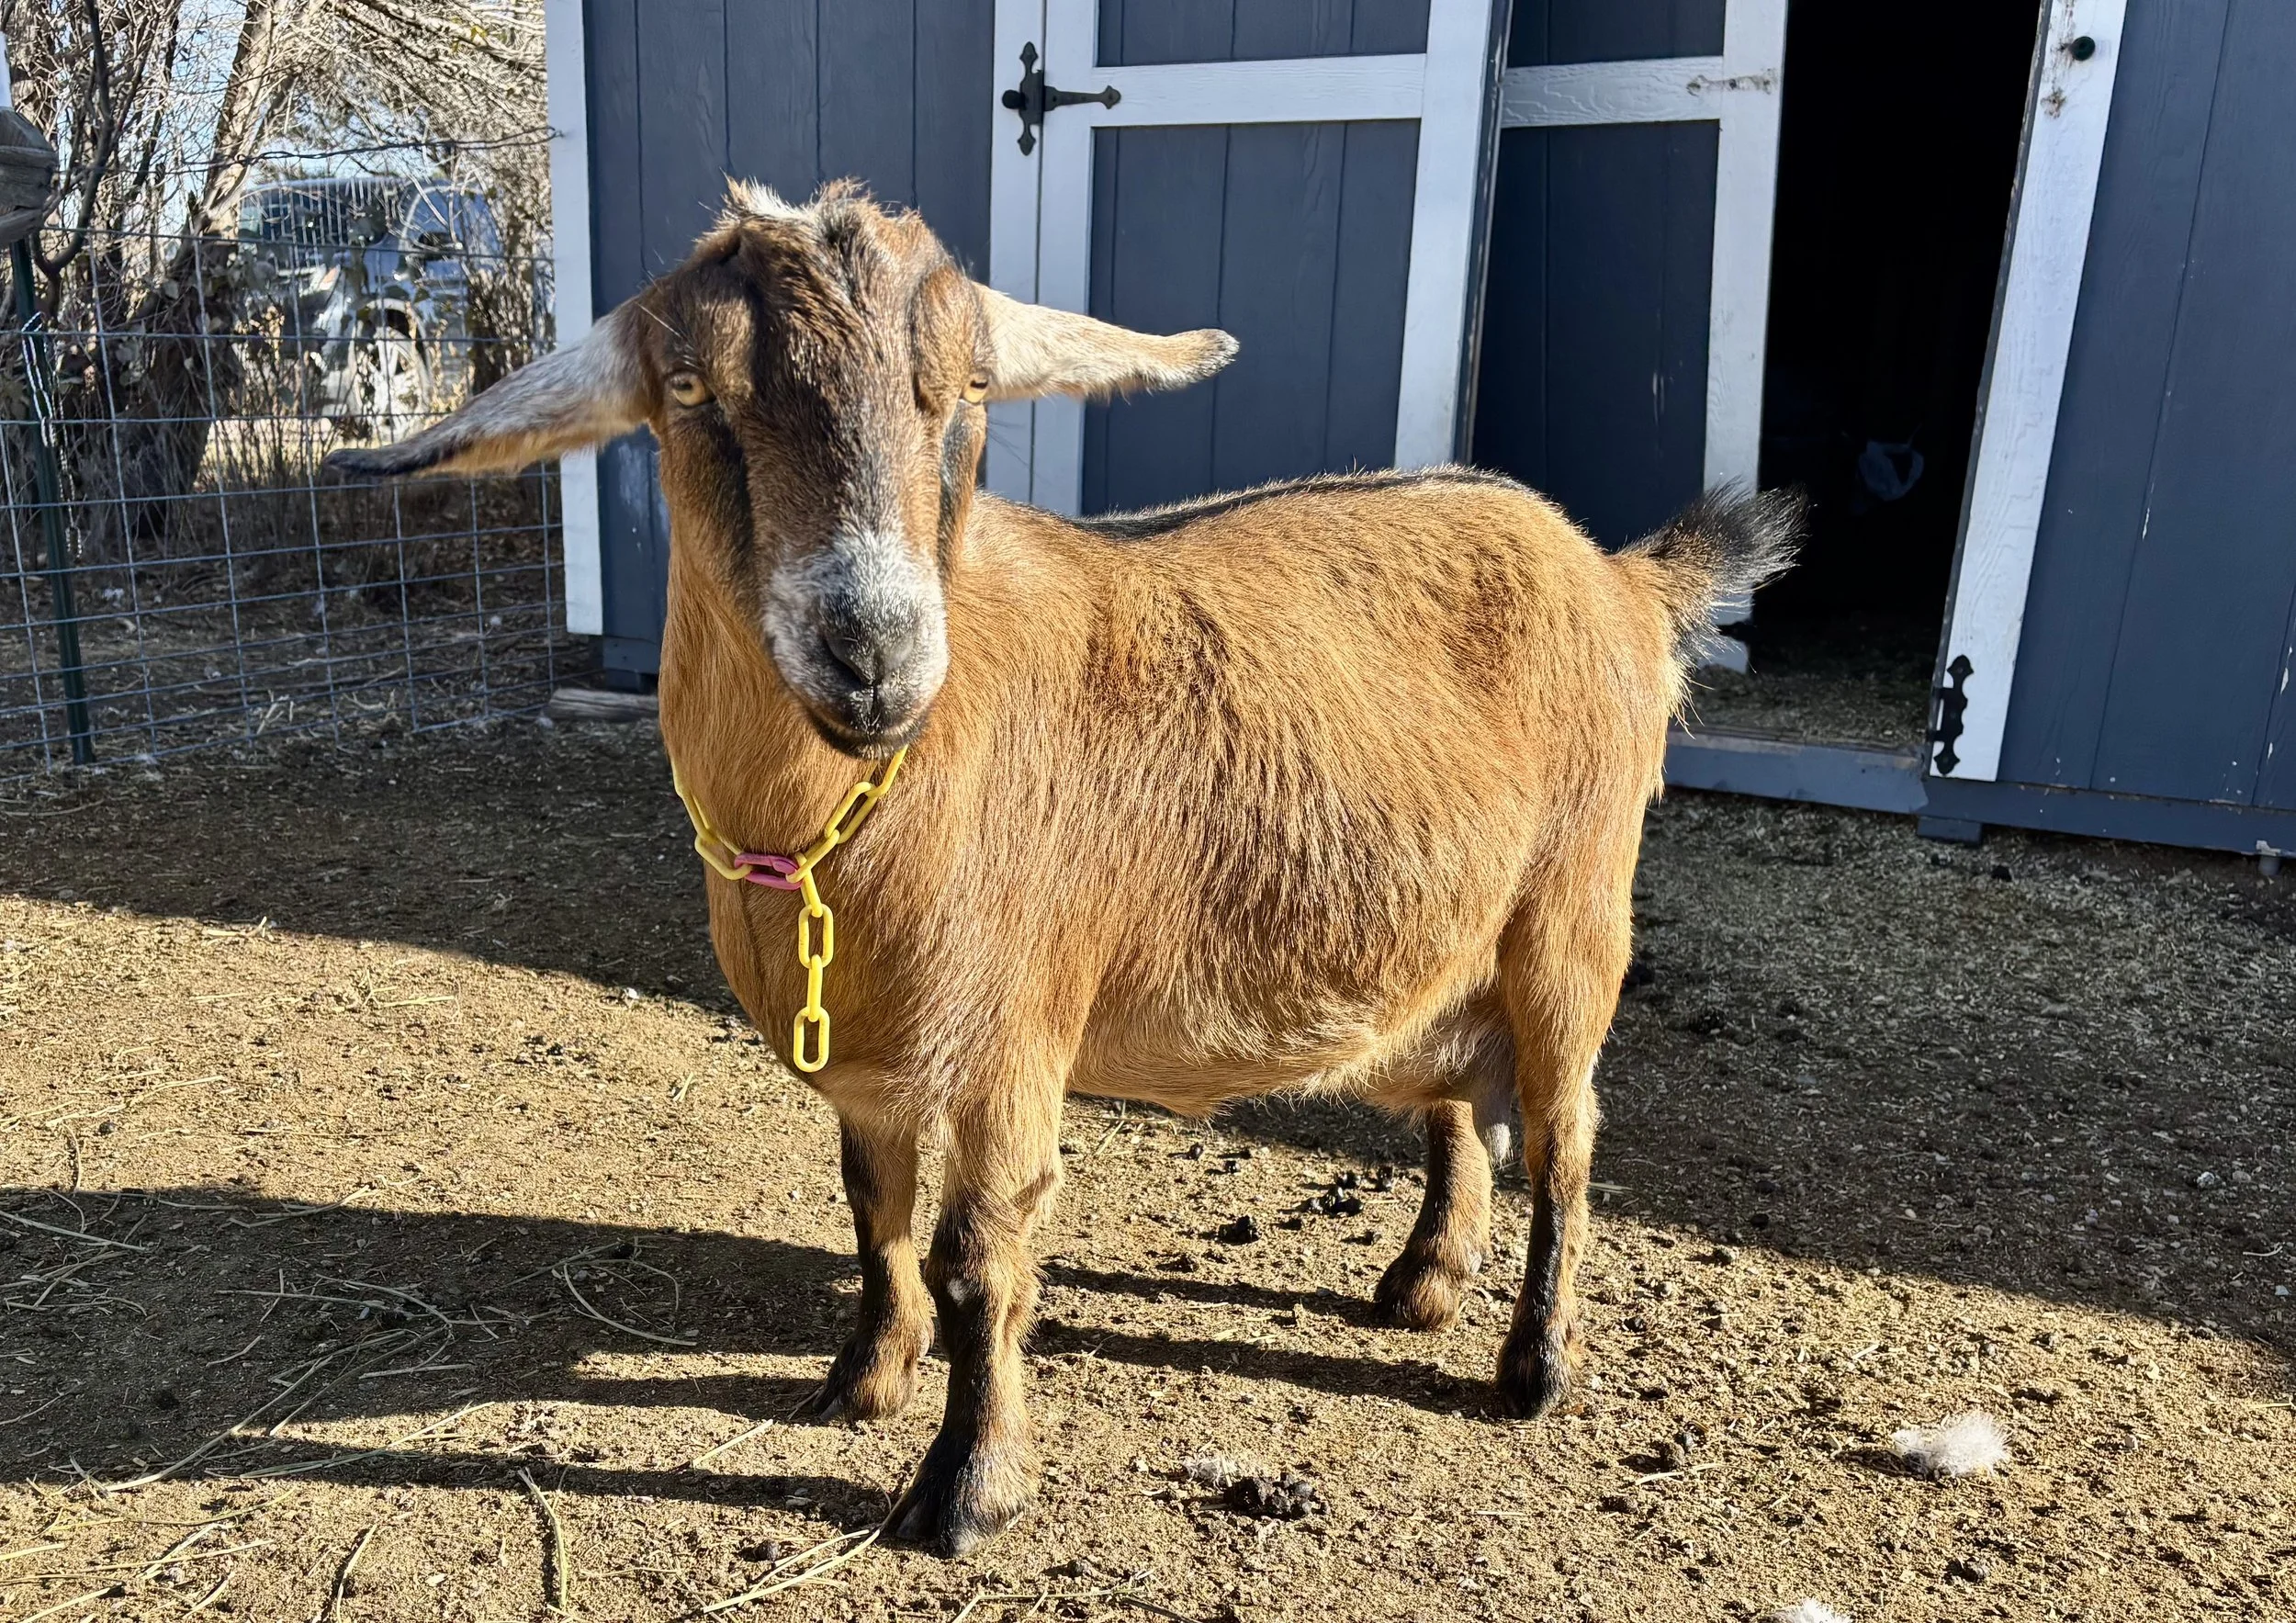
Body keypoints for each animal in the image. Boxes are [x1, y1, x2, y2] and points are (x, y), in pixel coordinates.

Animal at [329, 180, 1799, 1556]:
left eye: (971, 387)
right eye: (691, 388)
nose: (876, 654)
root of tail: (1616, 573)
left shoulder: (1009, 1036)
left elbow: (981, 1256)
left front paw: (967, 1490)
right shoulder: (875, 1060)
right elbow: (873, 1211)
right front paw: (862, 1379)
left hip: (1574, 907)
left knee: (1567, 1130)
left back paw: (1535, 1364)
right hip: (1438, 932)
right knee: (1456, 1098)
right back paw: (1424, 1279)